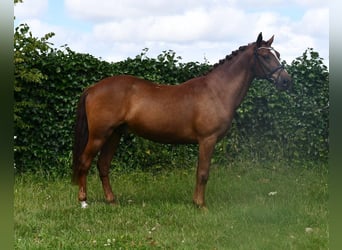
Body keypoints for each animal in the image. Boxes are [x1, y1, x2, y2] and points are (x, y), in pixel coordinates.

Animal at [71, 33, 292, 209]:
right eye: (265, 56)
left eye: (278, 54)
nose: (286, 81)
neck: (216, 91)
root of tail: (92, 88)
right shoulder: (207, 140)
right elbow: (203, 173)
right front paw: (201, 205)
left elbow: (199, 172)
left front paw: (196, 202)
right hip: (99, 135)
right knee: (85, 162)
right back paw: (83, 201)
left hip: (113, 135)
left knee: (103, 165)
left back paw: (111, 200)